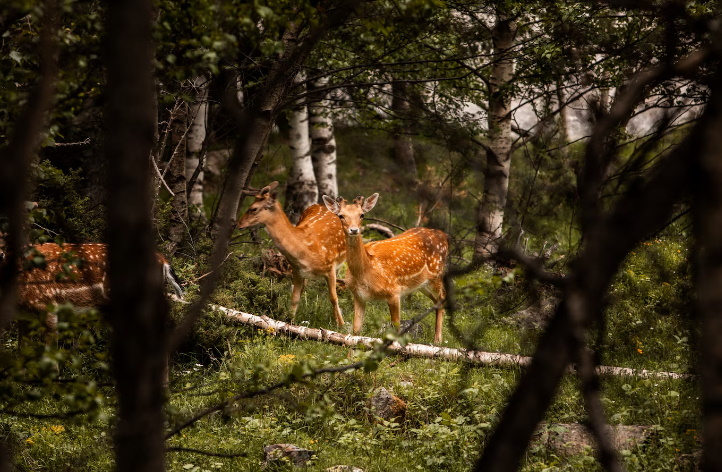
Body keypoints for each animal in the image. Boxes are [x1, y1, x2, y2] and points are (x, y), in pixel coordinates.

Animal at [236, 183, 346, 326]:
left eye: (253, 208)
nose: (238, 224)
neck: (305, 250)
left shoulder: (330, 267)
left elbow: (333, 298)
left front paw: (341, 324)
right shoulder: (297, 270)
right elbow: (294, 298)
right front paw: (289, 322)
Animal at [324, 192, 448, 342]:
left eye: (362, 215)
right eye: (341, 215)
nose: (354, 230)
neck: (365, 271)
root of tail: (443, 235)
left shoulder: (393, 291)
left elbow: (396, 328)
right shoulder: (358, 296)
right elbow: (356, 331)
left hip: (436, 275)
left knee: (442, 297)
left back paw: (437, 340)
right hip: (422, 284)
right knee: (437, 301)